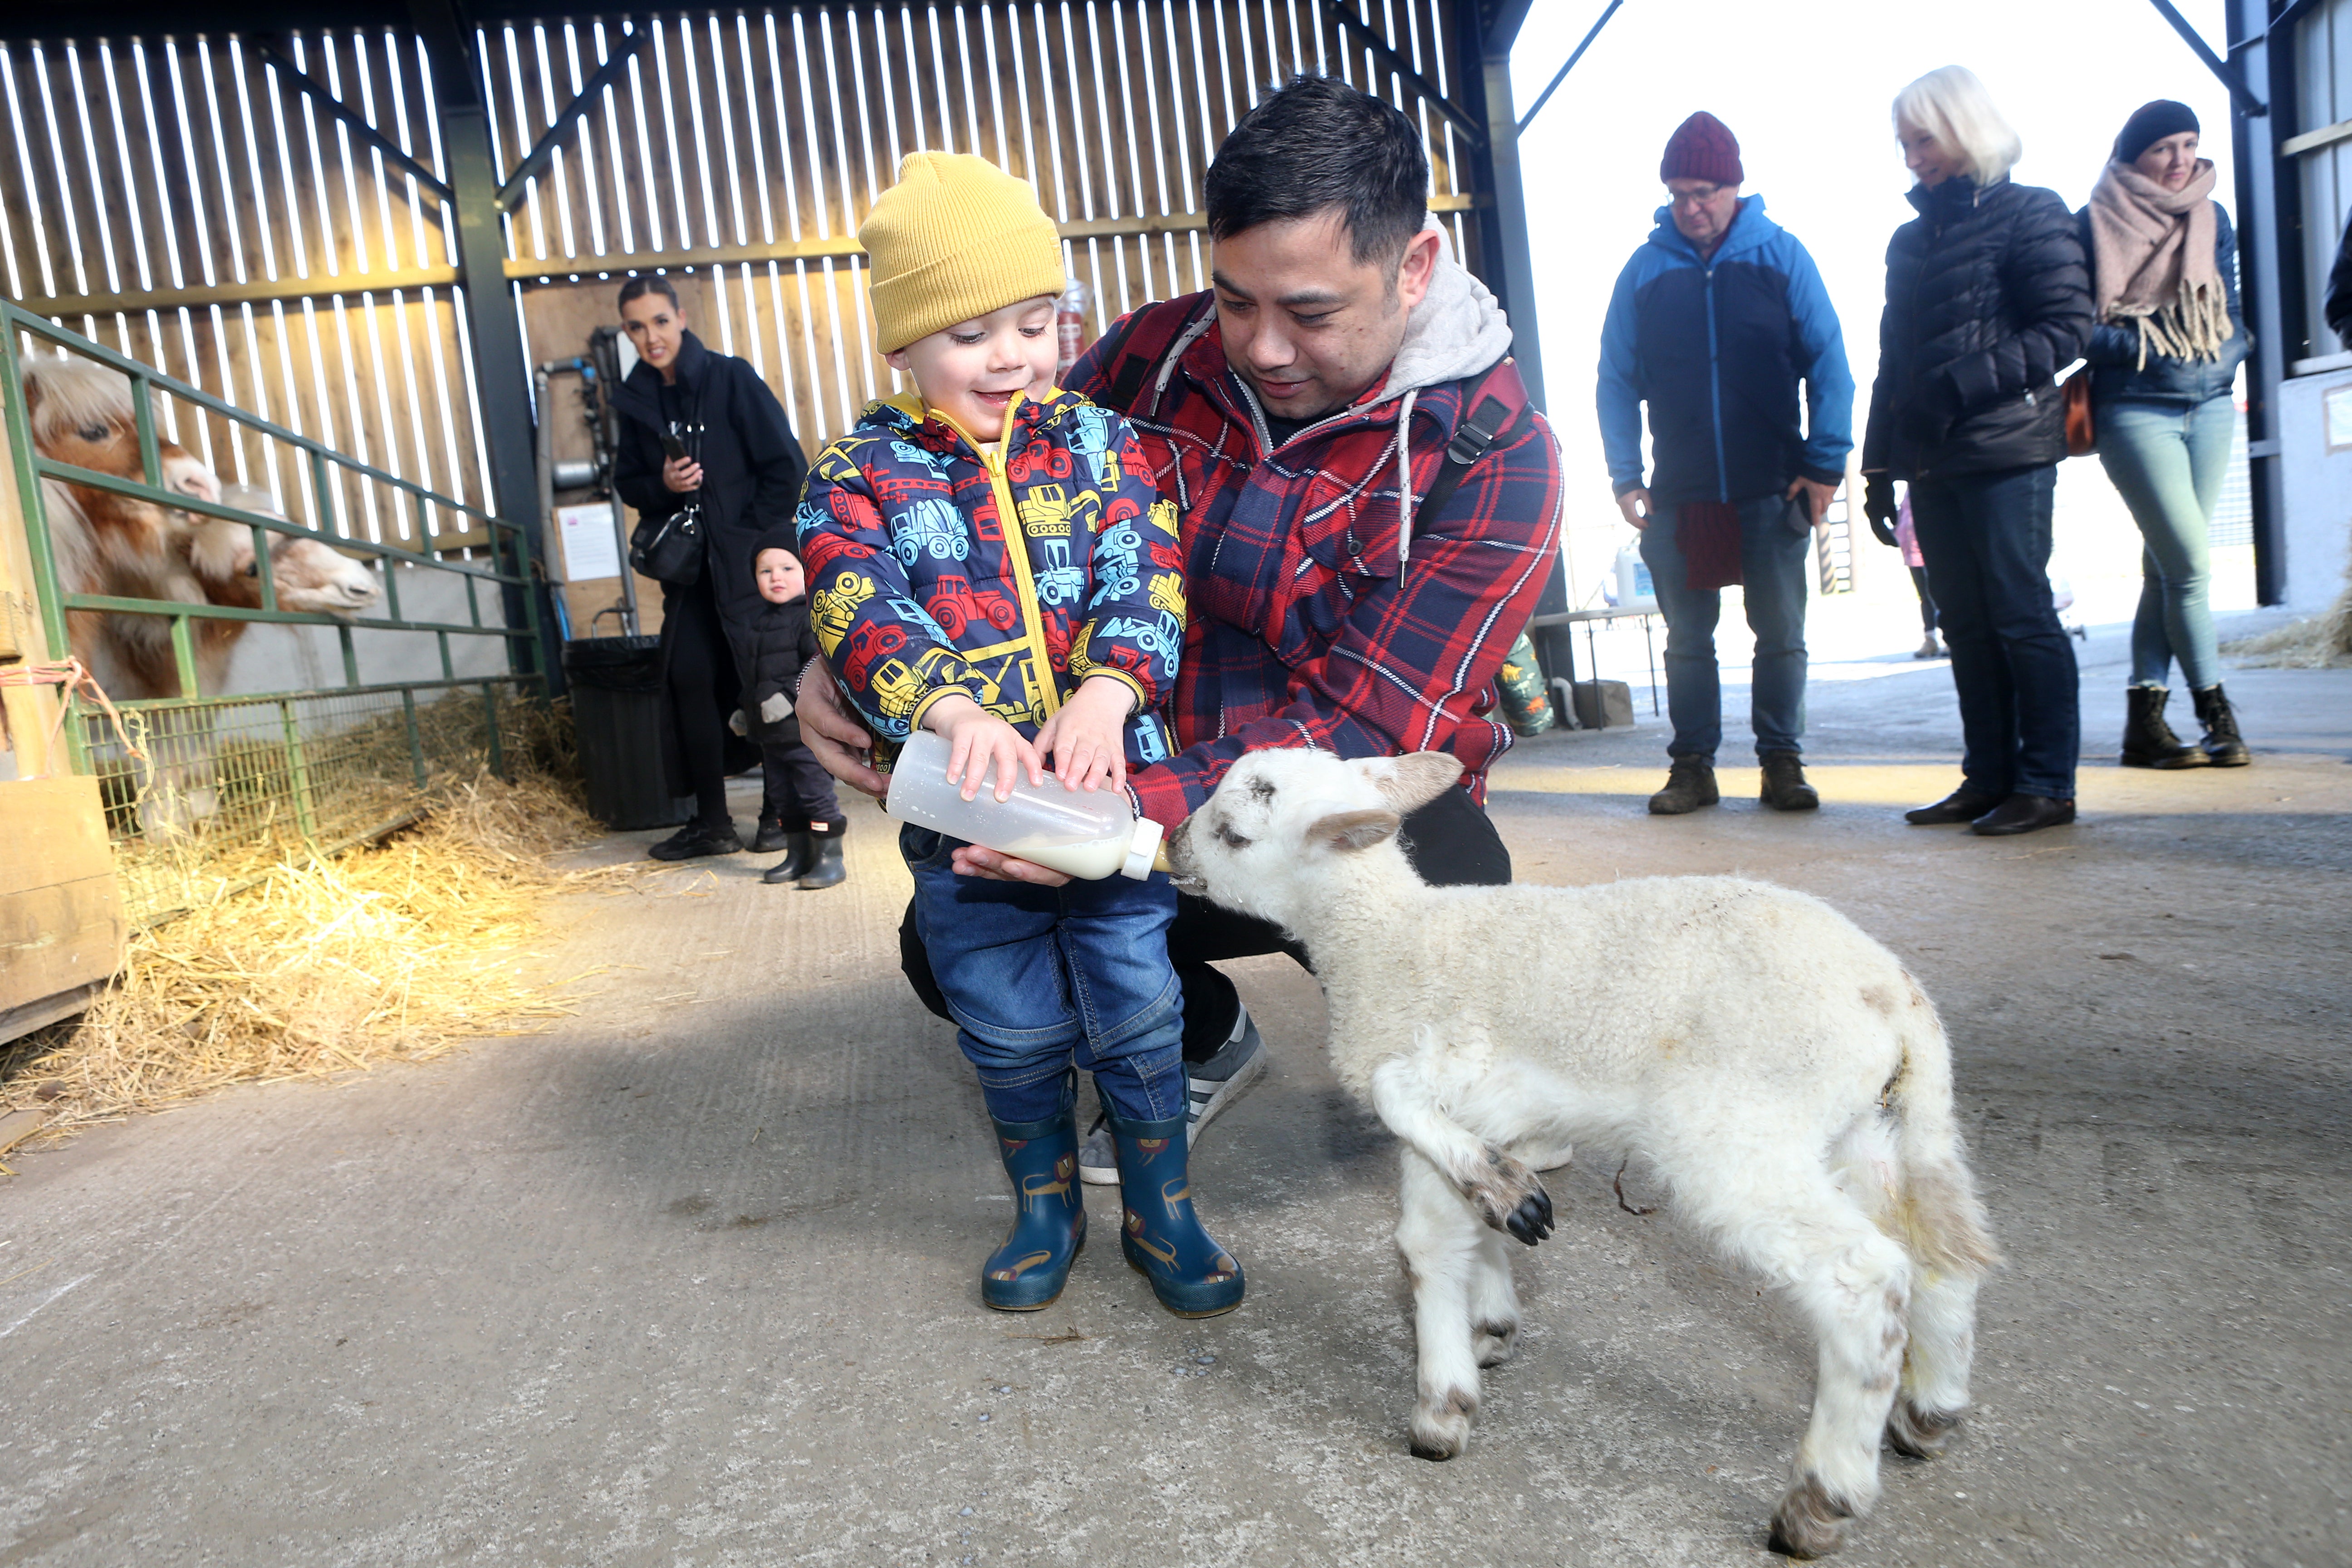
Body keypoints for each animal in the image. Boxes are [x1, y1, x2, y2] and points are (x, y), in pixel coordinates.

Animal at [1166, 747, 1994, 1561]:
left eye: (1235, 833)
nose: (1173, 844)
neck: (1388, 940)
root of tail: (1895, 999)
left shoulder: (1464, 1069)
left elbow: (1413, 1188)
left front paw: (1442, 1405)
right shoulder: (1476, 1118)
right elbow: (1447, 1232)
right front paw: (1491, 1300)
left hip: (1739, 1126)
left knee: (1865, 1278)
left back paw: (1820, 1500)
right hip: (1873, 1128)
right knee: (1940, 1257)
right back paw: (1929, 1409)